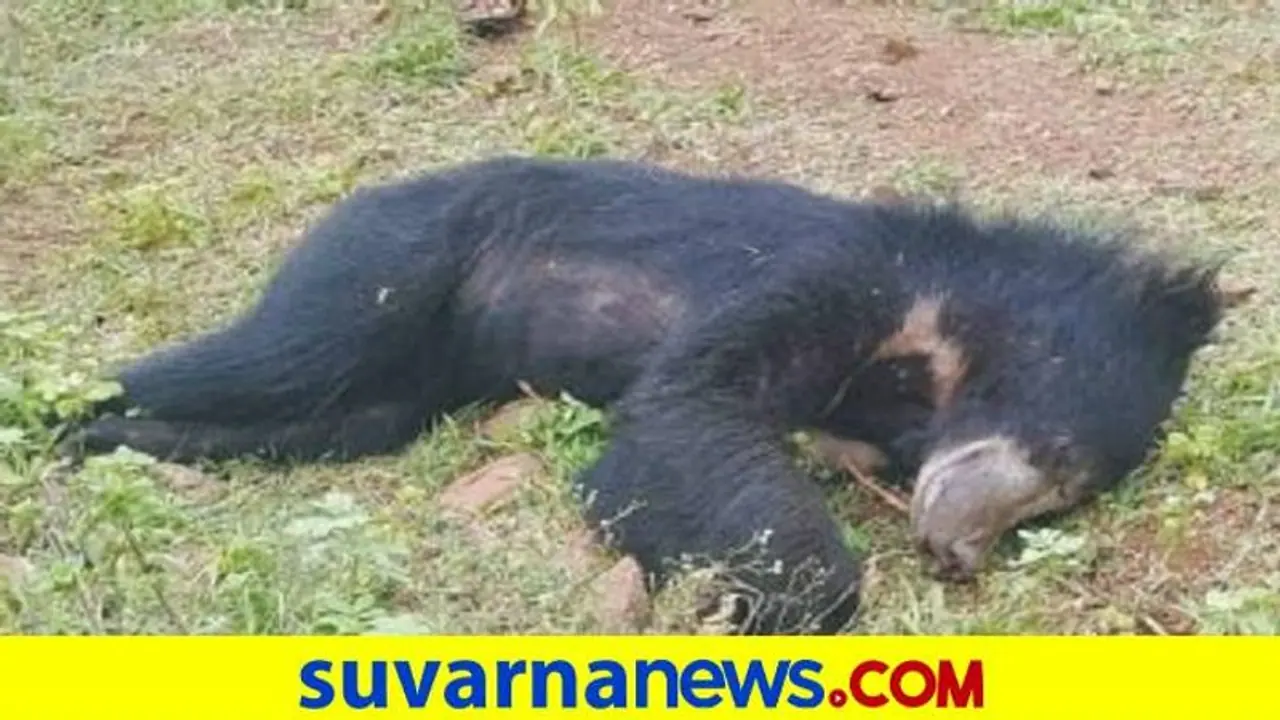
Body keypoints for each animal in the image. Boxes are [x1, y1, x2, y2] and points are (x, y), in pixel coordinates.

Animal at [59, 155, 1230, 635]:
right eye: (1052, 449)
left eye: (1062, 499)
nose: (956, 547)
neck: (931, 326)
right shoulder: (826, 273)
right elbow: (687, 408)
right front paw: (763, 603)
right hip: (388, 261)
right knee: (270, 355)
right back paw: (70, 420)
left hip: (402, 382)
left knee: (322, 418)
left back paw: (134, 443)